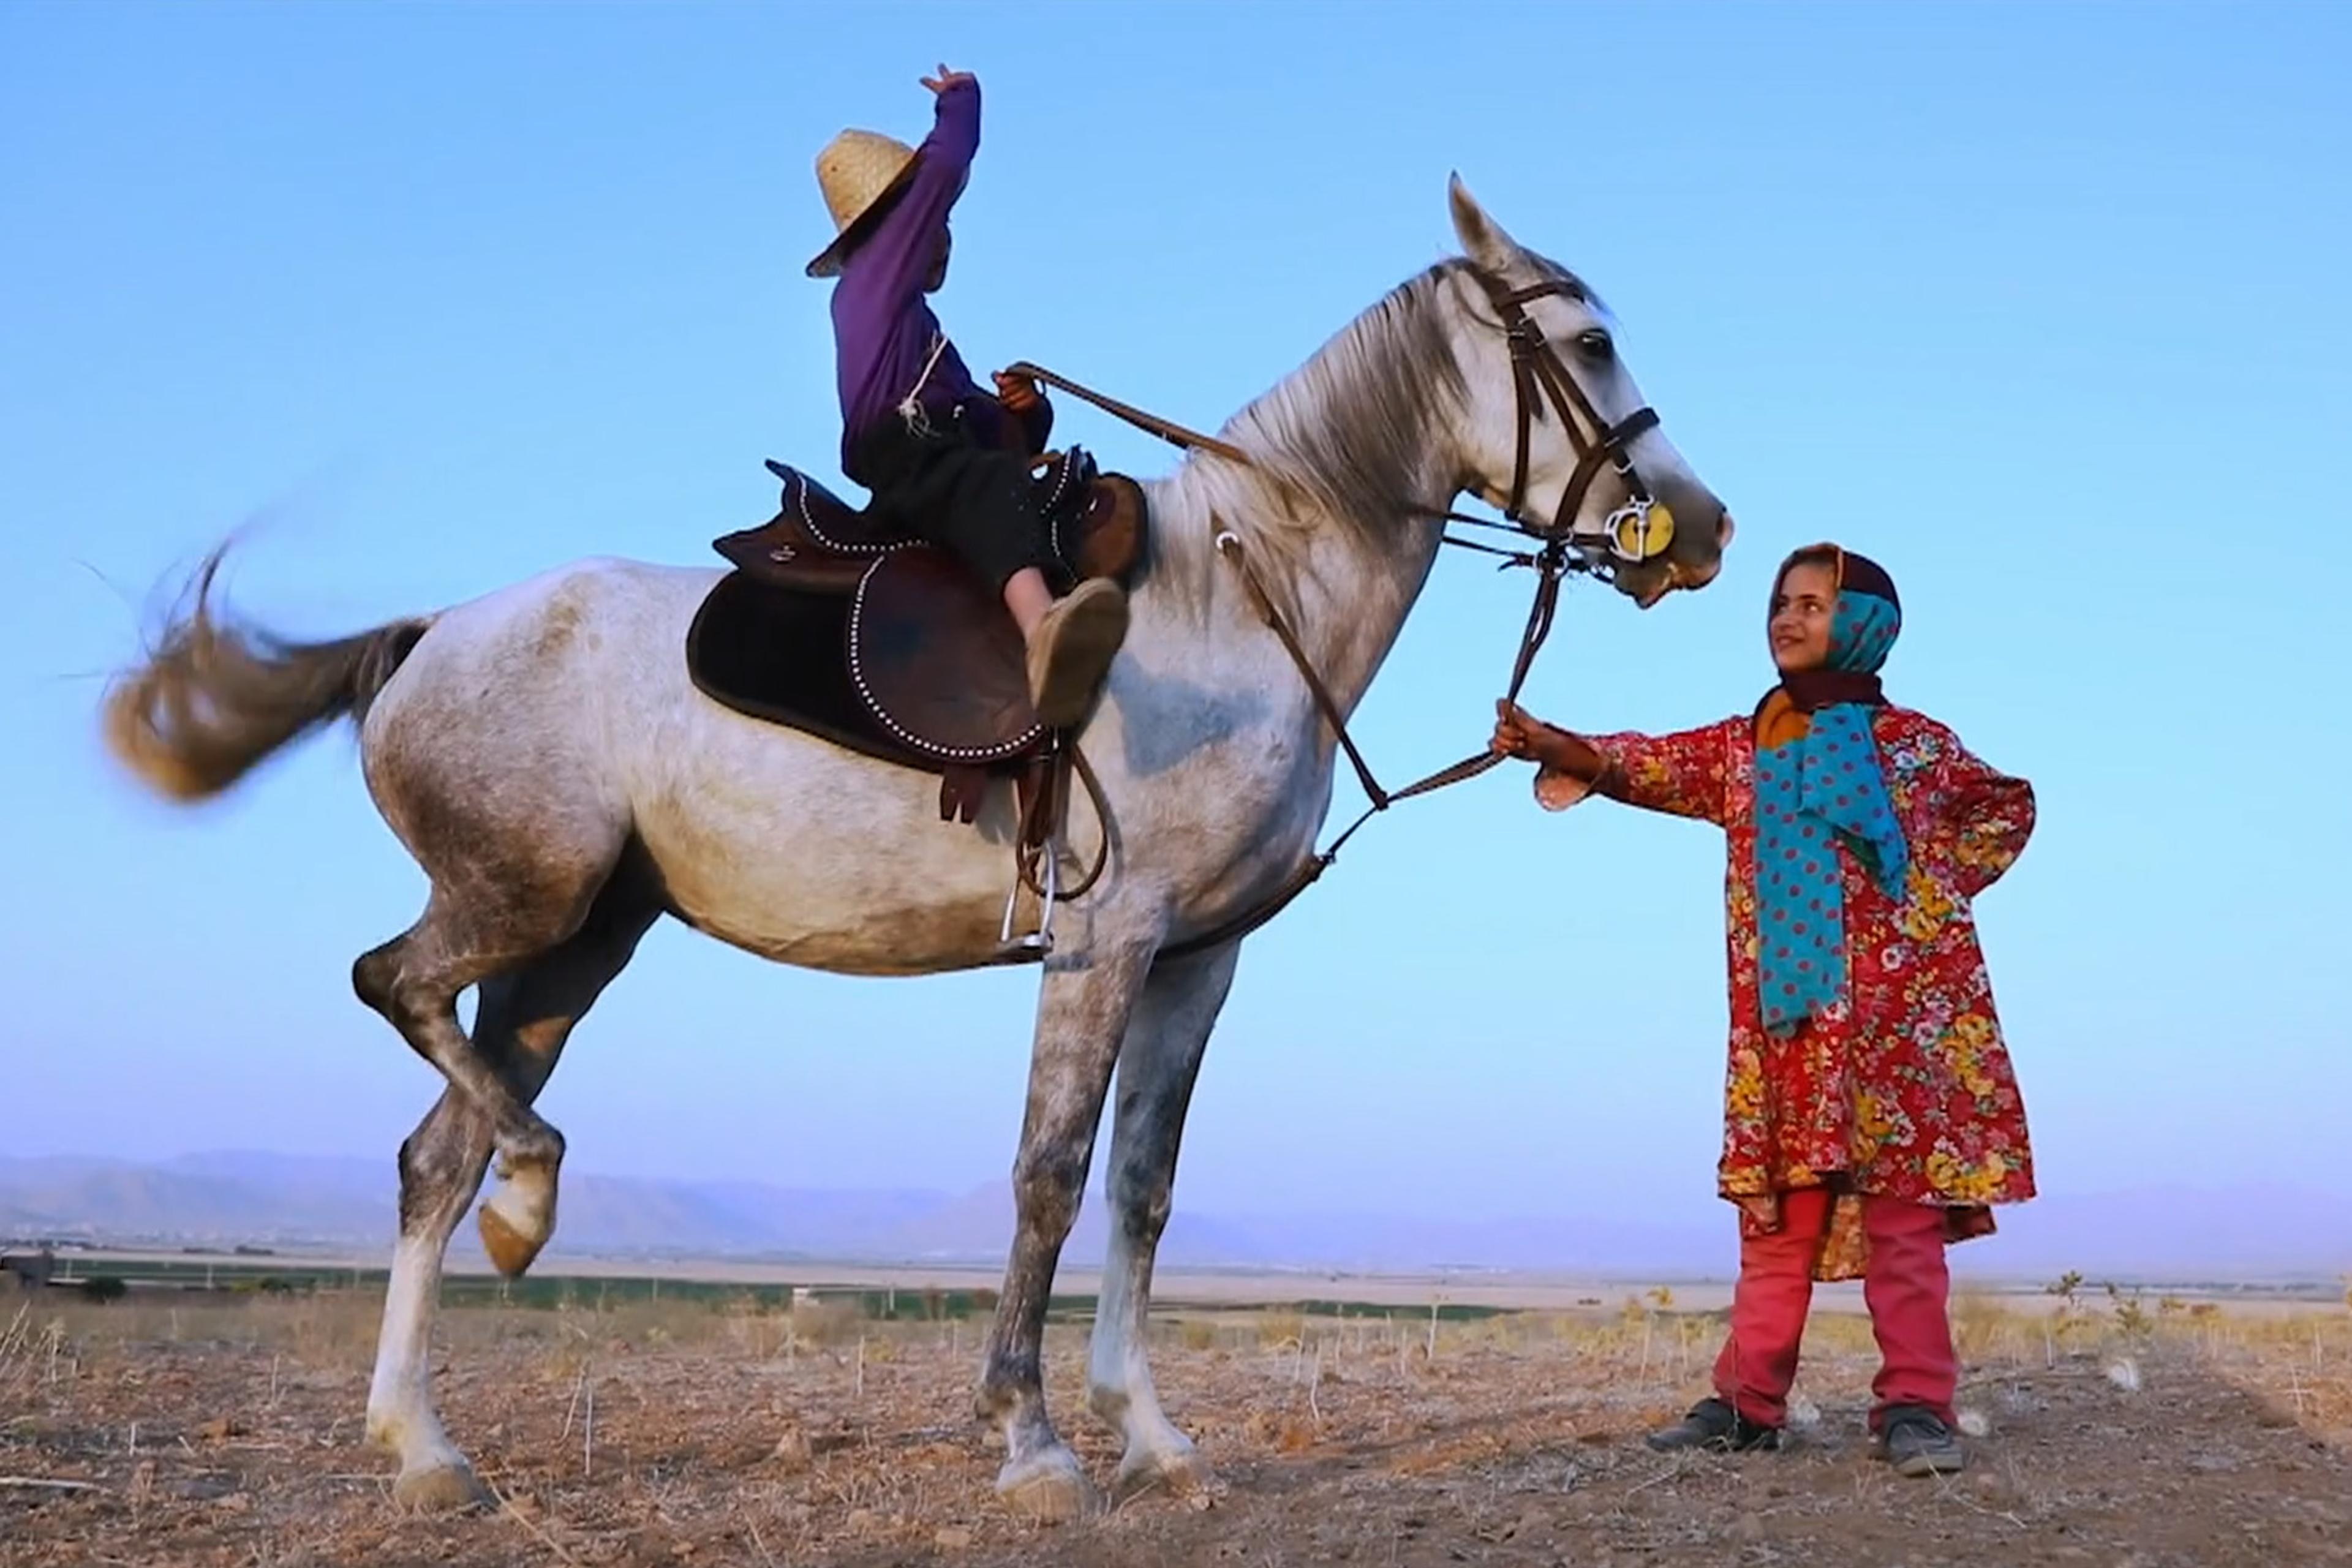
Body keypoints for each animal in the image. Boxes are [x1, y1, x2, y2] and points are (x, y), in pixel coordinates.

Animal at [99, 178, 1732, 1519]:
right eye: (1589, 344)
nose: (1702, 526)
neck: (1235, 601)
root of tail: (433, 631)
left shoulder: (1197, 958)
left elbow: (1143, 1186)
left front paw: (1151, 1435)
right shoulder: (1105, 938)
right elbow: (1050, 1174)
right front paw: (1032, 1440)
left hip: (575, 945)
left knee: (434, 1149)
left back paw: (432, 1426)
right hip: (523, 898)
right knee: (395, 988)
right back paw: (531, 1193)